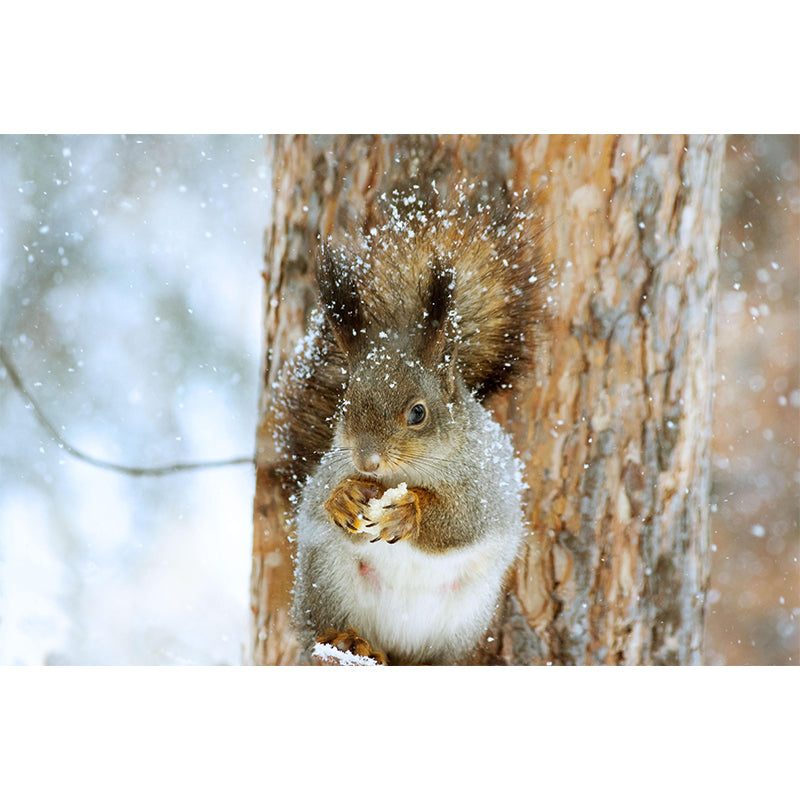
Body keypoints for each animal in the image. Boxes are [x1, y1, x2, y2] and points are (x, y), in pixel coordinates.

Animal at [275, 185, 551, 665]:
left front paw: (410, 511)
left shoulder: (487, 486)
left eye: (418, 413)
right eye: (344, 404)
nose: (366, 460)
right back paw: (348, 641)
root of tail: (396, 646)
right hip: (324, 582)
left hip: (464, 618)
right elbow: (317, 500)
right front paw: (342, 498)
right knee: (321, 632)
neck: (404, 473)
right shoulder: (329, 468)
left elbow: (462, 521)